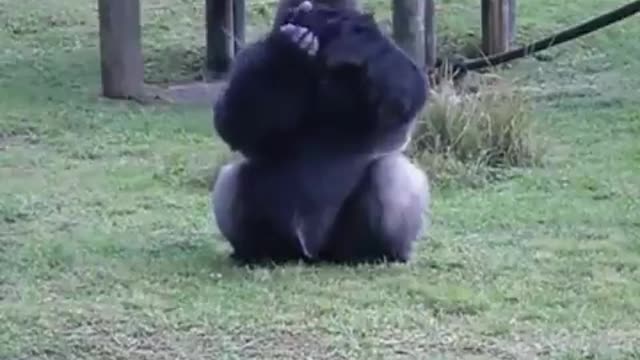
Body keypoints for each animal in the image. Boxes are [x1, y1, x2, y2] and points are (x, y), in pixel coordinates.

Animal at [210, 0, 430, 264]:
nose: (299, 13)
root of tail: (314, 252)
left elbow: (406, 87)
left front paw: (354, 35)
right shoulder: (251, 56)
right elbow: (233, 122)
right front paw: (285, 54)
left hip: (342, 245)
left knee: (391, 172)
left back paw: (380, 252)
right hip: (287, 241)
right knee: (233, 176)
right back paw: (255, 251)